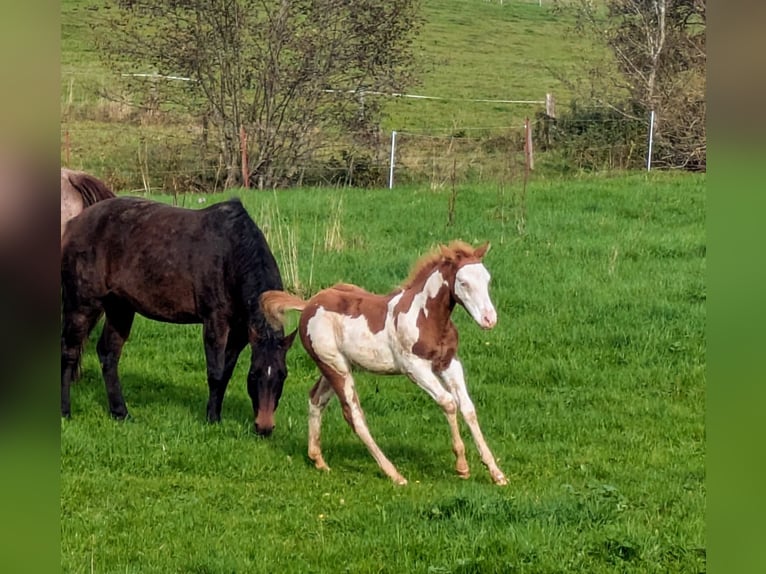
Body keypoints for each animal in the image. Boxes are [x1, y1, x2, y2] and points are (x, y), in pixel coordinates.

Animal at [61, 196, 297, 436]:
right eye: (254, 375)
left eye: (283, 375)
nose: (264, 427)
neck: (232, 254)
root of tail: (73, 224)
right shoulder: (215, 321)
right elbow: (215, 372)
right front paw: (212, 419)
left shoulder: (241, 332)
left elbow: (226, 373)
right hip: (82, 305)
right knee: (69, 352)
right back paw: (66, 411)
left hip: (120, 308)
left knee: (108, 354)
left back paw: (120, 413)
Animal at [260, 241, 507, 485]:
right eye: (463, 283)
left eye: (487, 280)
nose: (489, 319)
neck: (426, 317)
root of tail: (309, 304)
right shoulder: (414, 367)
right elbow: (448, 402)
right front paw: (462, 466)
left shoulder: (449, 364)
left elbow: (467, 408)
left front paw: (496, 472)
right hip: (336, 368)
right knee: (354, 415)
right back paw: (393, 473)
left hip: (335, 366)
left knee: (316, 399)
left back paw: (318, 459)